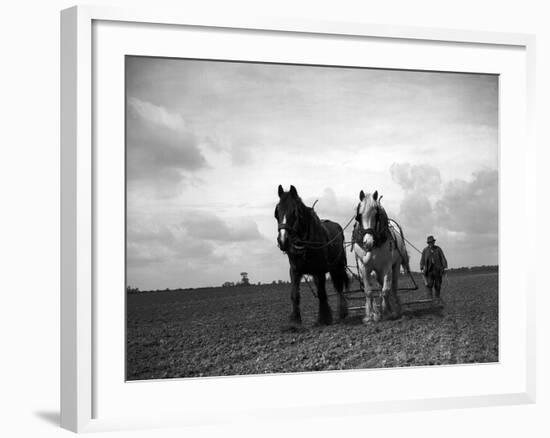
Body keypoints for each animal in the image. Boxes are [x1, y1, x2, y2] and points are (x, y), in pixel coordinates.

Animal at [274, 185, 350, 326]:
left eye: (294, 212)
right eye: (277, 212)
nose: (283, 241)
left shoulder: (319, 270)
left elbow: (322, 293)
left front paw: (324, 318)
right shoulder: (295, 271)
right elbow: (295, 294)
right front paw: (295, 320)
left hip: (337, 266)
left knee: (339, 286)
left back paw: (342, 312)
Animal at [354, 190, 410, 324]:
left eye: (376, 215)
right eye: (359, 216)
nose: (367, 242)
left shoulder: (387, 267)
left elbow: (385, 290)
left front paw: (386, 313)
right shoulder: (364, 267)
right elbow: (369, 291)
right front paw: (371, 316)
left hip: (396, 266)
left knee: (393, 288)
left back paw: (396, 310)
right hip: (378, 271)